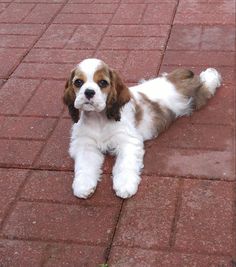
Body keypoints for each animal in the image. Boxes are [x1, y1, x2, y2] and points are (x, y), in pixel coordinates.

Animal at [63, 58, 221, 199]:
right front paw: (83, 186)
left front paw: (125, 186)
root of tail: (175, 79)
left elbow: (125, 164)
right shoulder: (85, 144)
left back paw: (211, 73)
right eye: (78, 82)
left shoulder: (128, 141)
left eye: (102, 83)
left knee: (206, 85)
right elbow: (84, 166)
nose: (89, 92)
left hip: (196, 97)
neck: (99, 119)